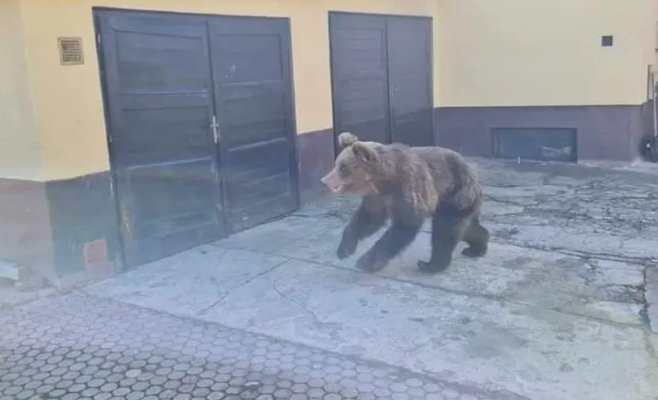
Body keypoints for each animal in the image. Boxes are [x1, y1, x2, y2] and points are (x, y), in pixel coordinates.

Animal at [320, 132, 489, 273]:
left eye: (343, 167)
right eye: (337, 164)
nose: (324, 180)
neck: (383, 180)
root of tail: (472, 170)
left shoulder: (407, 187)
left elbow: (405, 223)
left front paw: (365, 261)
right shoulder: (377, 198)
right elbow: (367, 219)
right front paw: (344, 249)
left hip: (456, 191)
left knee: (444, 229)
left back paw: (430, 265)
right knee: (463, 227)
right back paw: (477, 247)